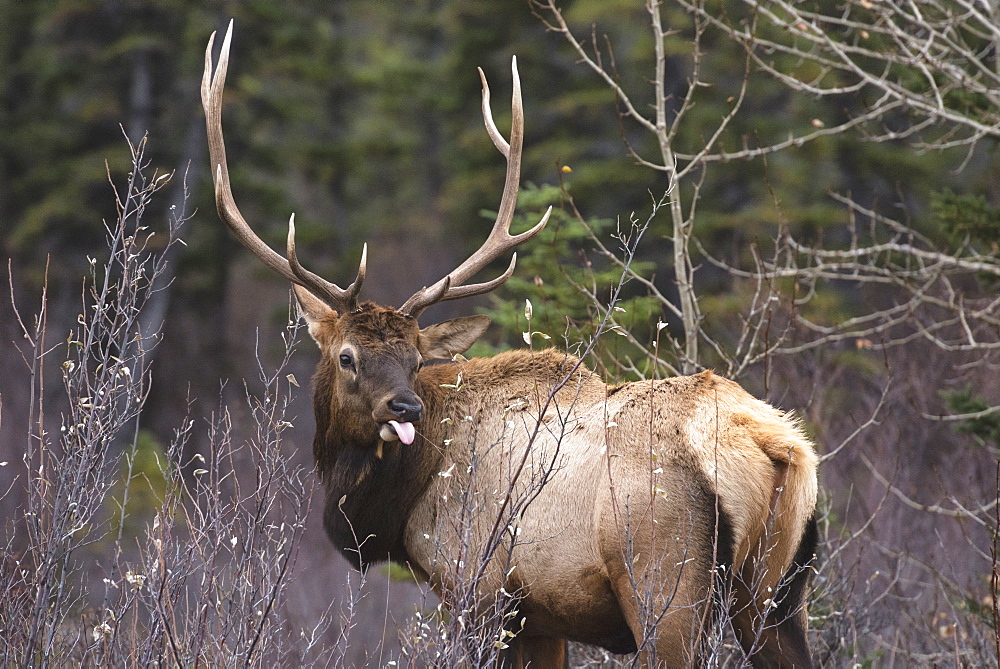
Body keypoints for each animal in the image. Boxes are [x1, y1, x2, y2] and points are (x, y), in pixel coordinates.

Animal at [199, 22, 816, 668]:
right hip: (777, 598)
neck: (402, 502)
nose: (405, 408)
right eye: (349, 356)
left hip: (666, 588)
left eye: (415, 360)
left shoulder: (480, 590)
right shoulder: (542, 617)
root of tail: (780, 447)